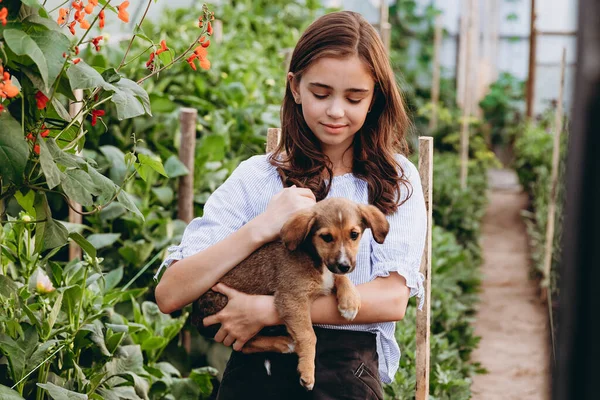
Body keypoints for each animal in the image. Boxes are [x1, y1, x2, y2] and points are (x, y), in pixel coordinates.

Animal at [191, 197, 390, 390]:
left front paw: (350, 301)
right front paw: (307, 372)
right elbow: (309, 335)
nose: (344, 265)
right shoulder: (292, 299)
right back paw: (285, 343)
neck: (314, 257)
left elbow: (339, 278)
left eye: (354, 235)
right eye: (326, 237)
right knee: (244, 344)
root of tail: (195, 319)